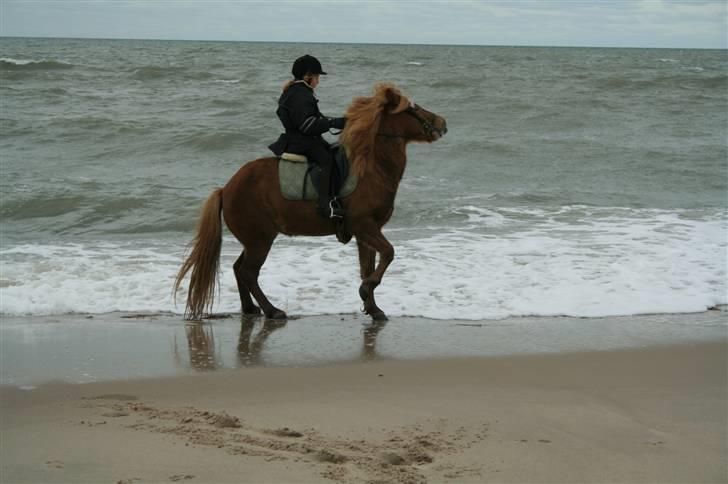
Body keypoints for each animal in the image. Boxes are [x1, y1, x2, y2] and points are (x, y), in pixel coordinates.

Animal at [173, 83, 446, 322]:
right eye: (411, 108)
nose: (442, 123)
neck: (372, 168)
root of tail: (226, 188)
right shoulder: (364, 225)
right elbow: (388, 253)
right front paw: (365, 291)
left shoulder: (366, 232)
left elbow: (368, 266)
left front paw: (373, 307)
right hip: (260, 240)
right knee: (248, 272)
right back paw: (273, 311)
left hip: (253, 240)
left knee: (238, 268)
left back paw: (251, 309)